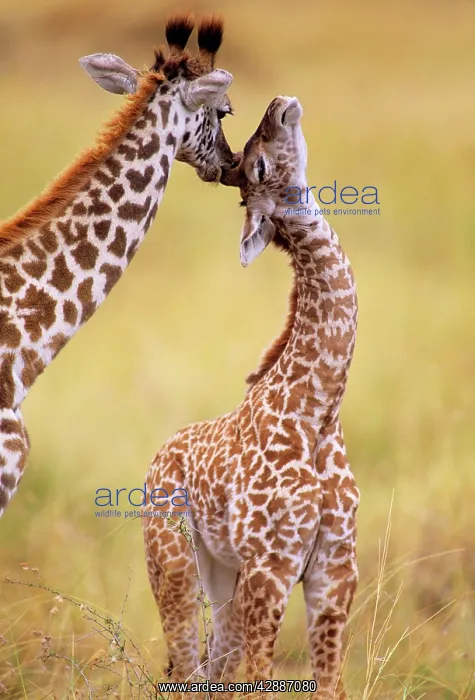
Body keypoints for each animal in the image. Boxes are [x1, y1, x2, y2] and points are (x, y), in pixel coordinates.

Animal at [143, 95, 359, 698]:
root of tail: (155, 461)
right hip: (175, 563)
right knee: (188, 663)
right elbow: (262, 677)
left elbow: (330, 683)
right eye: (259, 167)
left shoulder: (335, 574)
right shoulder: (271, 569)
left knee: (214, 660)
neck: (318, 413)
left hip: (223, 574)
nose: (280, 105)